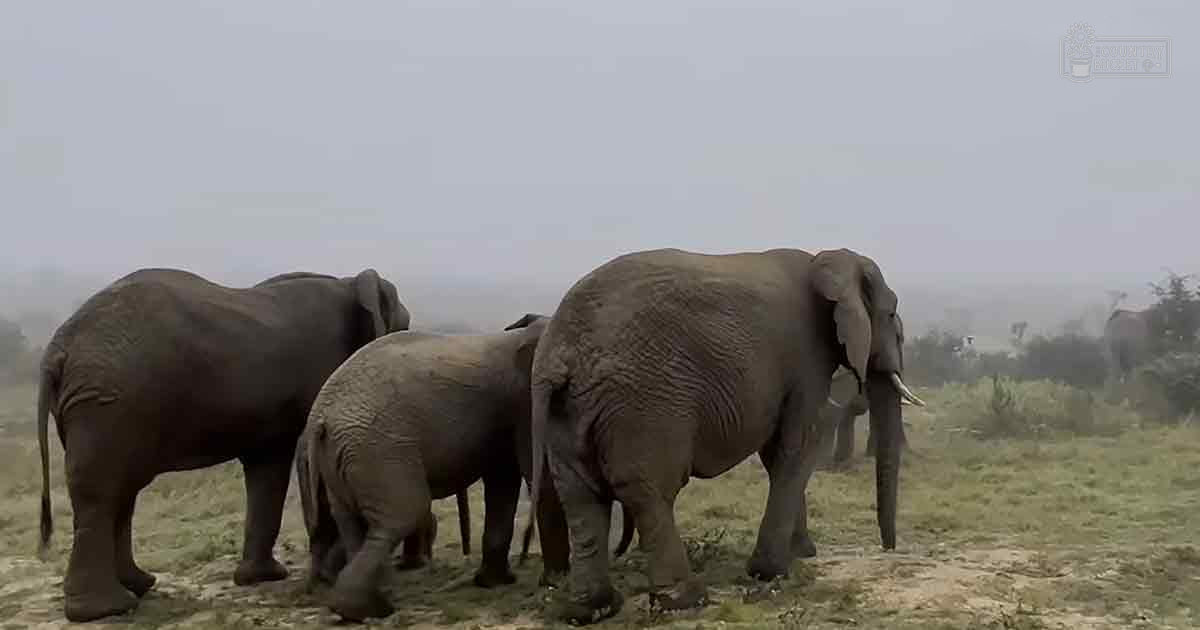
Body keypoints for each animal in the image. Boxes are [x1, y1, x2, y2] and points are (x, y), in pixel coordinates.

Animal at [35, 268, 409, 622]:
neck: (347, 282)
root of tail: (56, 350)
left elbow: (268, 467)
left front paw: (261, 578)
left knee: (121, 490)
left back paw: (138, 586)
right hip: (109, 403)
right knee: (103, 491)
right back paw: (107, 609)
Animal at [302, 313, 573, 621]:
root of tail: (321, 417)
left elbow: (502, 480)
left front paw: (495, 583)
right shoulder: (524, 402)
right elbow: (535, 476)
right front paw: (553, 582)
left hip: (341, 457)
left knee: (351, 522)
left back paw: (362, 603)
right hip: (377, 450)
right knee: (403, 513)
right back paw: (369, 609)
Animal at [525, 247, 925, 624]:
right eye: (891, 316)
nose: (888, 548)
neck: (825, 260)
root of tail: (560, 354)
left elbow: (778, 456)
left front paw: (800, 554)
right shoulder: (807, 360)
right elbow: (796, 447)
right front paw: (771, 572)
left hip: (569, 411)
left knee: (582, 499)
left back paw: (591, 610)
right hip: (644, 403)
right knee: (650, 492)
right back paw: (686, 602)